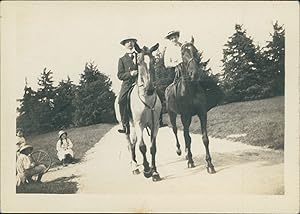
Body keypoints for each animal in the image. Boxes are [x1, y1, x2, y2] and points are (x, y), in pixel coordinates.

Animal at [114, 42, 162, 181]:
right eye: (139, 63)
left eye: (153, 61)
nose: (150, 89)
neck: (147, 99)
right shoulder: (139, 124)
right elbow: (142, 147)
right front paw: (147, 170)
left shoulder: (154, 125)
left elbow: (152, 148)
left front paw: (155, 172)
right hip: (126, 125)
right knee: (129, 143)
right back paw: (134, 166)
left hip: (134, 125)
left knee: (133, 142)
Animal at [165, 37, 217, 174]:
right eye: (183, 53)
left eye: (196, 51)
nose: (195, 74)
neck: (190, 89)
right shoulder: (185, 116)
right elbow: (187, 137)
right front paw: (190, 160)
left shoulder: (202, 113)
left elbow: (205, 138)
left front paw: (210, 164)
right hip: (172, 114)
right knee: (176, 131)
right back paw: (181, 151)